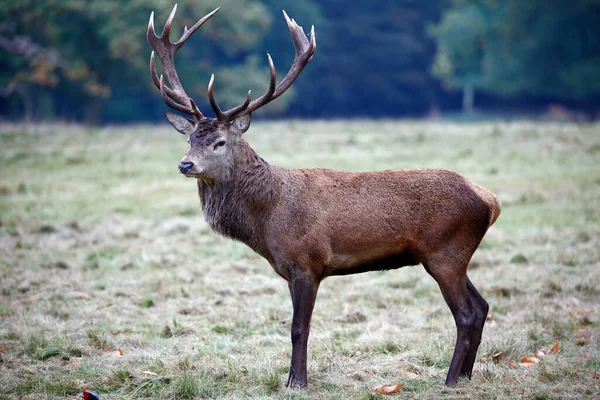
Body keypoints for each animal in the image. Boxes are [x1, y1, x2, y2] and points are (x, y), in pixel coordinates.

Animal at [146, 4, 502, 390]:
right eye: (189, 139)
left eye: (220, 142)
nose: (185, 164)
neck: (268, 218)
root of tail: (490, 200)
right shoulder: (289, 270)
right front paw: (290, 380)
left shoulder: (308, 262)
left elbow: (298, 329)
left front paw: (298, 383)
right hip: (453, 255)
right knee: (482, 307)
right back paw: (466, 375)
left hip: (445, 252)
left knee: (466, 314)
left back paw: (450, 379)